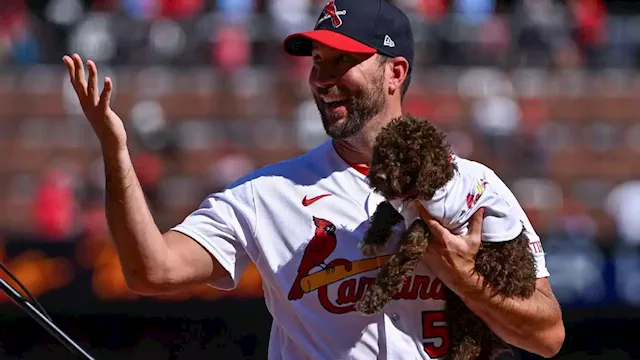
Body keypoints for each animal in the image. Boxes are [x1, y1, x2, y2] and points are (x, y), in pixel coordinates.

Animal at [358, 114, 536, 360]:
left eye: (408, 159)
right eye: (383, 152)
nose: (380, 176)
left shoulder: (423, 227)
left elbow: (397, 262)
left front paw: (372, 299)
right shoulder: (411, 207)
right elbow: (386, 207)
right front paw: (372, 240)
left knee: (470, 343)